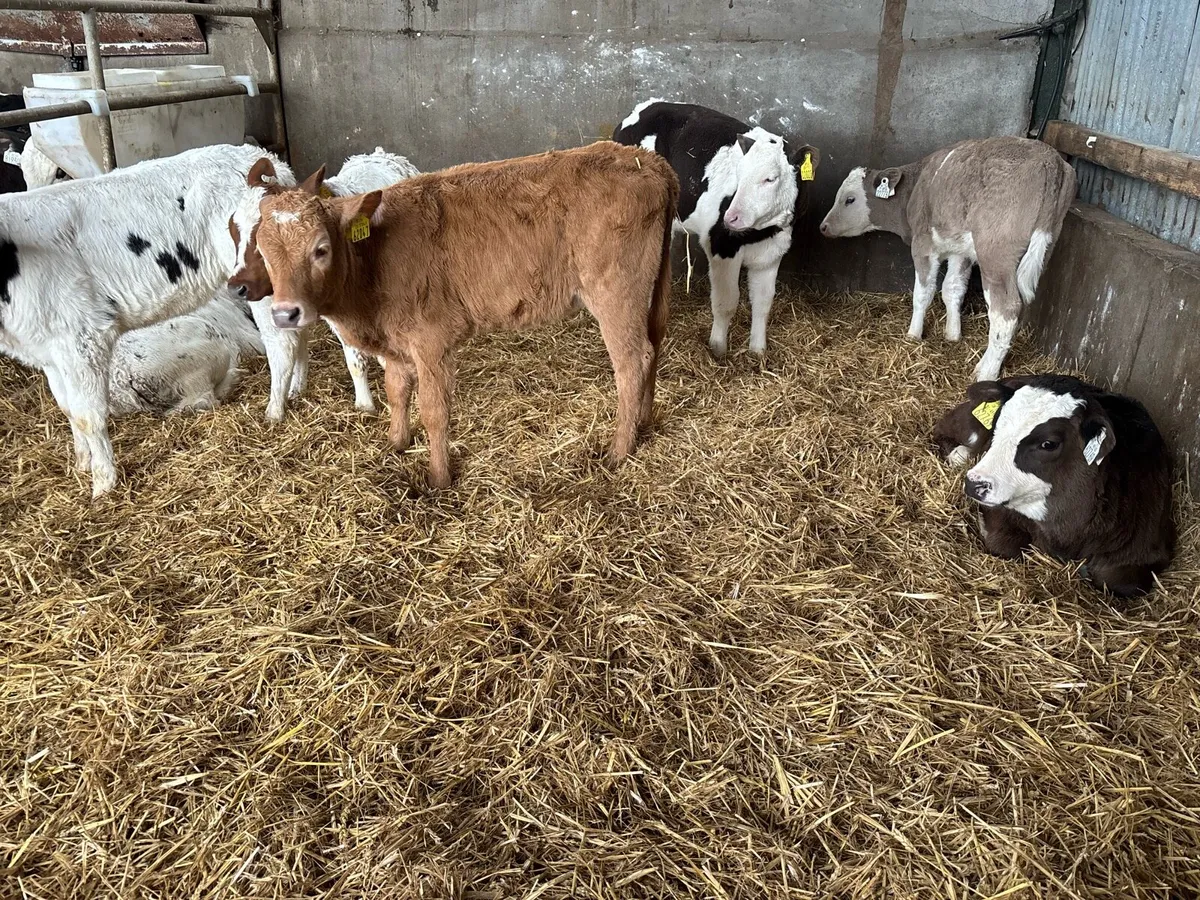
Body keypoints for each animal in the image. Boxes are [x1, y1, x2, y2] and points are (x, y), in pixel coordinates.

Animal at [0, 143, 295, 497]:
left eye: (59, 171)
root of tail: (261, 157)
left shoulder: (84, 340)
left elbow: (89, 417)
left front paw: (103, 485)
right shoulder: (48, 352)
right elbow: (68, 409)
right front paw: (81, 463)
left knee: (281, 344)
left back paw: (275, 410)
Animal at [251, 141, 678, 489]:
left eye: (320, 248)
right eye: (263, 251)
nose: (285, 314)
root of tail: (647, 161)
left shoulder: (432, 340)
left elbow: (434, 410)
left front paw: (438, 479)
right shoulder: (396, 343)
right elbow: (396, 391)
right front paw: (395, 444)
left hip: (615, 293)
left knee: (632, 361)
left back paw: (619, 450)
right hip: (651, 290)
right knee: (653, 347)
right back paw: (644, 423)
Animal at [613, 100, 819, 359]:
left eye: (770, 179)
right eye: (740, 175)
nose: (731, 217)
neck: (761, 232)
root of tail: (644, 107)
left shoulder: (773, 251)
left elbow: (763, 302)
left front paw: (758, 351)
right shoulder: (721, 245)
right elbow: (726, 302)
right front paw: (718, 350)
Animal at [819, 136, 1076, 382]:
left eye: (849, 199)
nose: (823, 226)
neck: (915, 188)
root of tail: (1050, 158)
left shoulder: (923, 245)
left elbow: (923, 293)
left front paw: (913, 335)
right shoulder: (960, 250)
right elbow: (952, 288)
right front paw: (953, 334)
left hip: (995, 255)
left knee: (1005, 310)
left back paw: (986, 373)